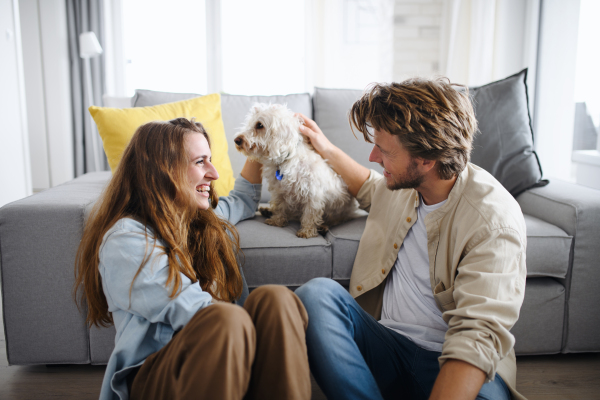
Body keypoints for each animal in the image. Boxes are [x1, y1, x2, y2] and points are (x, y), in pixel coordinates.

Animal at [233, 103, 356, 238]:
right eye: (250, 123)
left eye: (259, 125)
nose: (236, 140)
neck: (286, 160)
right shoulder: (279, 191)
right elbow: (279, 206)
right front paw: (277, 221)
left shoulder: (313, 195)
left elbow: (310, 214)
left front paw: (306, 231)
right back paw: (267, 211)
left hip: (339, 211)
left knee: (336, 219)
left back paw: (323, 226)